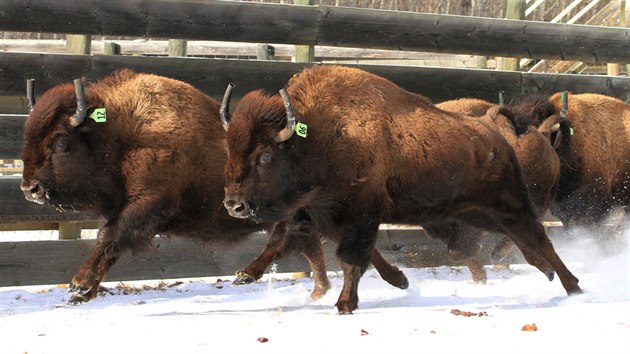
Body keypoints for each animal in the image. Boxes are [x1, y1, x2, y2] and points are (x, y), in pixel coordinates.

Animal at [19, 69, 408, 304]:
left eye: (61, 142)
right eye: (28, 135)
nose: (28, 189)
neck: (122, 133)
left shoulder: (146, 204)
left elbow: (109, 238)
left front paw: (78, 286)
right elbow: (108, 241)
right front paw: (82, 292)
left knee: (305, 240)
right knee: (311, 242)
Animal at [221, 65, 584, 314]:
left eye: (265, 155)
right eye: (229, 149)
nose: (233, 205)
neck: (317, 135)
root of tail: (491, 127)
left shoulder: (360, 213)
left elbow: (352, 257)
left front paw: (345, 304)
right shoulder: (323, 213)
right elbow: (287, 241)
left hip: (508, 204)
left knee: (537, 236)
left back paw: (573, 287)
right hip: (474, 213)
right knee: (515, 239)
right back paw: (548, 273)